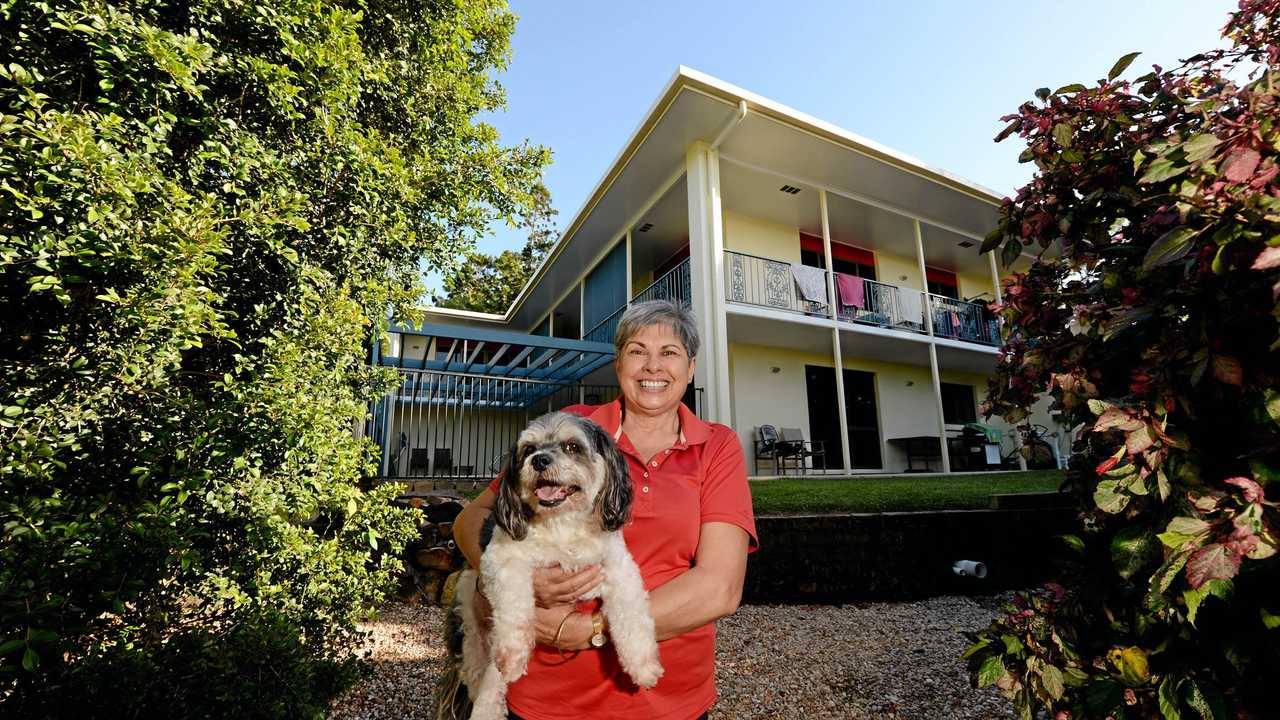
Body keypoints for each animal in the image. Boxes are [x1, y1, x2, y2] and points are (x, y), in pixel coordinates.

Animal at [453, 409, 660, 717]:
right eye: (528, 449)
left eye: (572, 446)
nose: (539, 460)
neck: (563, 525)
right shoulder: (501, 561)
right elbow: (515, 608)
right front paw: (514, 654)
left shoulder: (620, 569)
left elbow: (632, 617)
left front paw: (643, 666)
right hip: (469, 603)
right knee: (479, 659)